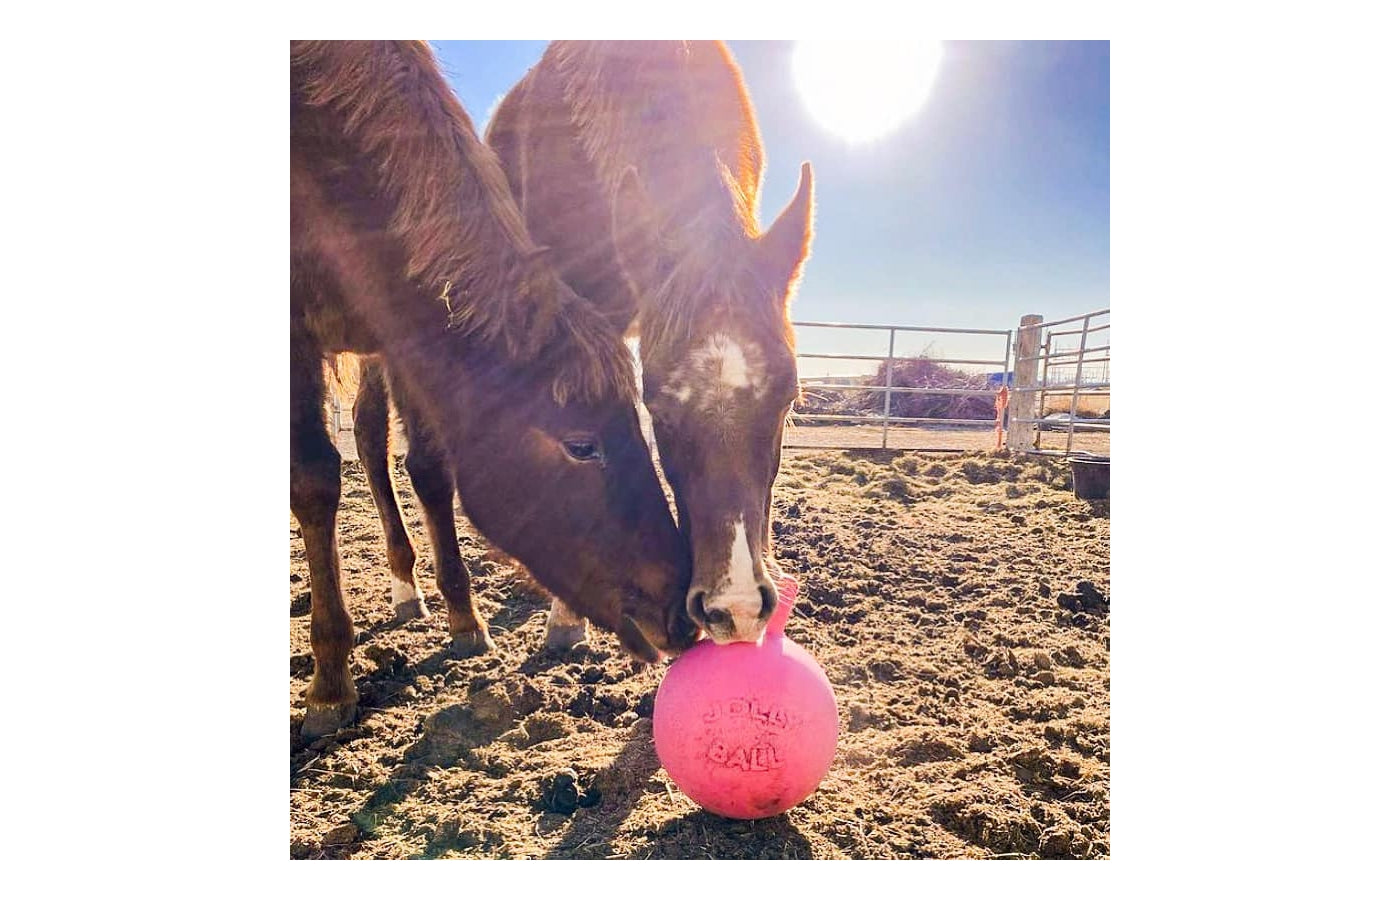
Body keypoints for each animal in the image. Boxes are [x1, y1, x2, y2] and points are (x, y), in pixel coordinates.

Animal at [291, 40, 700, 739]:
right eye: (581, 445)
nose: (679, 610)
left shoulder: (406, 342)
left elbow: (431, 471)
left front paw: (464, 618)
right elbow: (315, 481)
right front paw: (329, 683)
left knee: (372, 440)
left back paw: (410, 590)